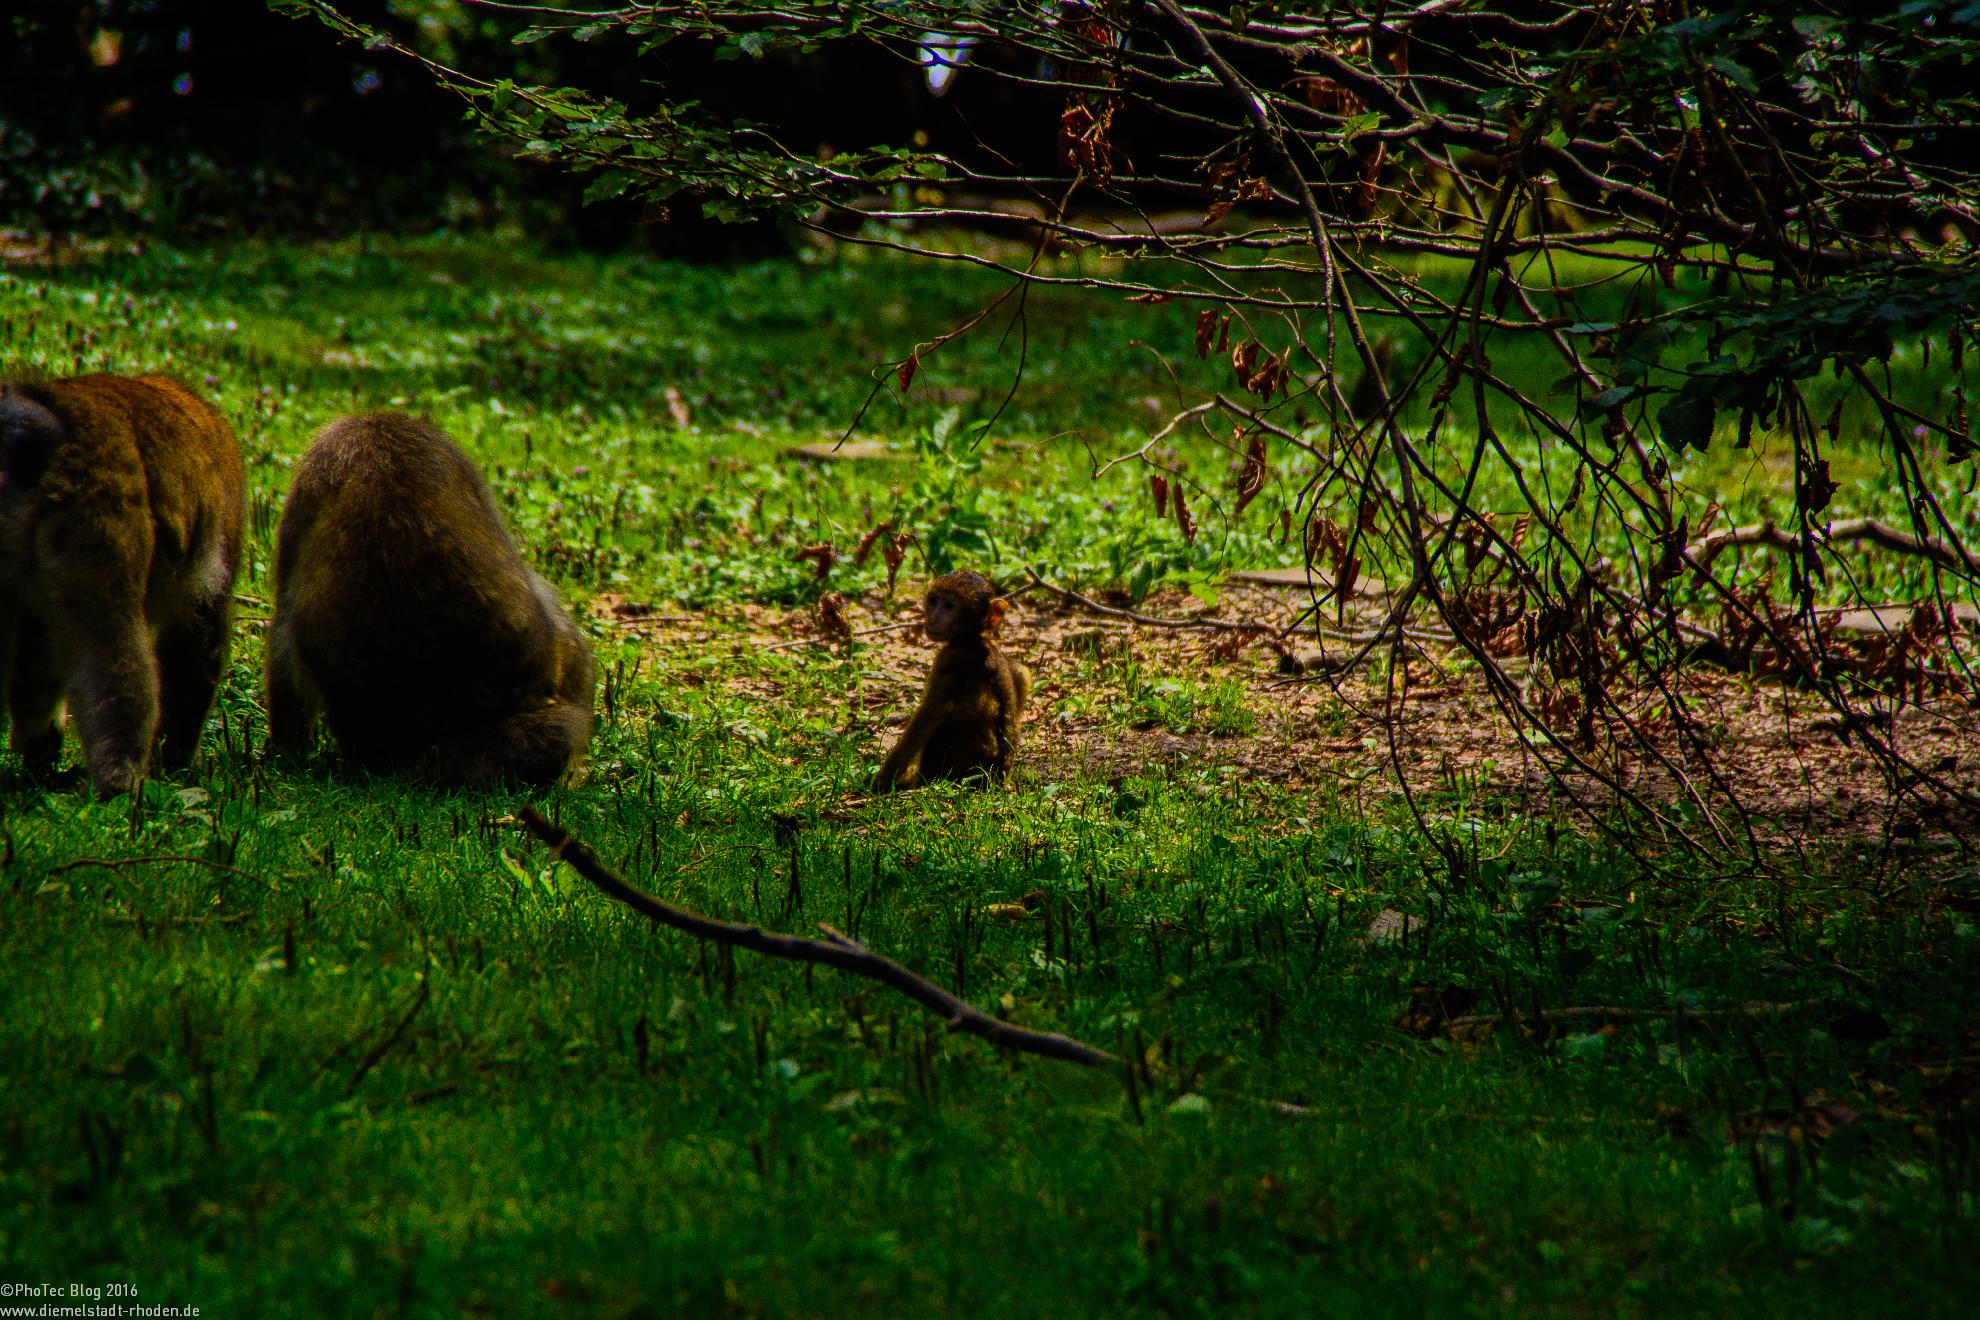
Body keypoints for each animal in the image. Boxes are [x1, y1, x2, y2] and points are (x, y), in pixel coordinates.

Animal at [0, 373, 245, 798]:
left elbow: (38, 644)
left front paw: (38, 742)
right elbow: (198, 639)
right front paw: (174, 759)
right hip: (99, 502)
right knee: (111, 636)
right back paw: (120, 782)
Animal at [876, 570, 1031, 790]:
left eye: (949, 606)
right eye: (933, 601)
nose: (932, 617)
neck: (971, 638)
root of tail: (996, 779)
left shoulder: (948, 657)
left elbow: (932, 711)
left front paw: (879, 782)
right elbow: (1021, 673)